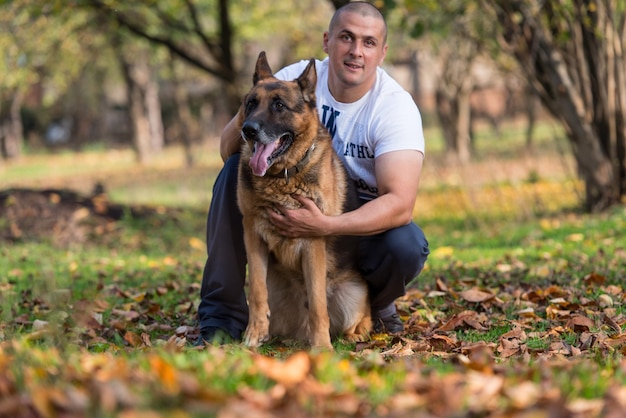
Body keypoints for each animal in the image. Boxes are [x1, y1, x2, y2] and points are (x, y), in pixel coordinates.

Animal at [235, 52, 370, 350]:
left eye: (279, 105)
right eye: (250, 104)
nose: (248, 130)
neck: (282, 175)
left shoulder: (313, 243)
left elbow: (318, 304)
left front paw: (321, 347)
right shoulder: (252, 234)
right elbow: (257, 292)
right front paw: (254, 332)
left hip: (354, 294)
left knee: (358, 318)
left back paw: (356, 335)